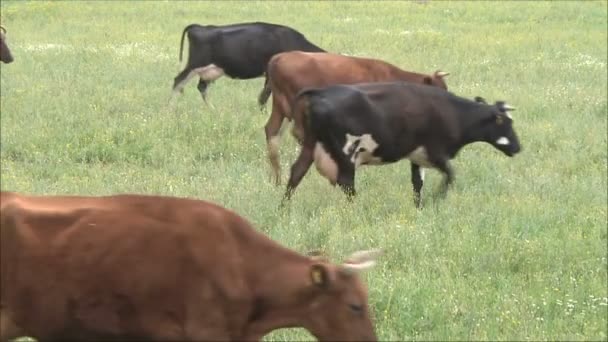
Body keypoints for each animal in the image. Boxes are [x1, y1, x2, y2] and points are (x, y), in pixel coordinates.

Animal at [169, 21, 326, 105]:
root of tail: (200, 27)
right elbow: (263, 97)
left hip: (210, 70)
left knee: (201, 87)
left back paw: (213, 111)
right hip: (195, 63)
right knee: (178, 81)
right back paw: (169, 111)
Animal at [282, 81, 520, 208]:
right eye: (507, 123)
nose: (518, 147)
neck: (454, 113)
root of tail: (319, 92)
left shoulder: (418, 156)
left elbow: (417, 184)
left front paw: (419, 207)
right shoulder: (437, 153)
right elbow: (451, 176)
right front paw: (436, 199)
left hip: (311, 146)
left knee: (296, 173)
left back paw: (284, 208)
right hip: (346, 153)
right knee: (346, 182)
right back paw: (357, 209)